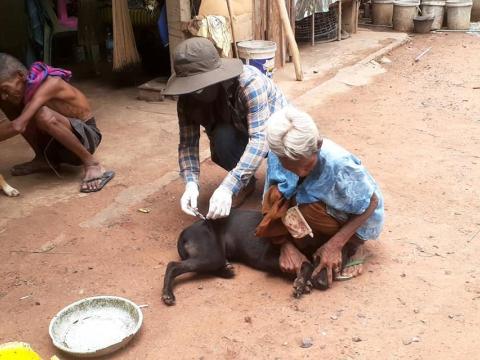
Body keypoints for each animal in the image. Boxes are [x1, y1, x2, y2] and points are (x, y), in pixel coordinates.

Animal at [161, 208, 330, 304]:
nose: (324, 284)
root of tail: (185, 231)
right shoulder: (266, 259)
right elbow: (306, 264)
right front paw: (302, 282)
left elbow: (308, 263)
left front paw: (304, 281)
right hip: (211, 256)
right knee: (173, 265)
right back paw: (167, 294)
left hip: (213, 256)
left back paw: (226, 270)